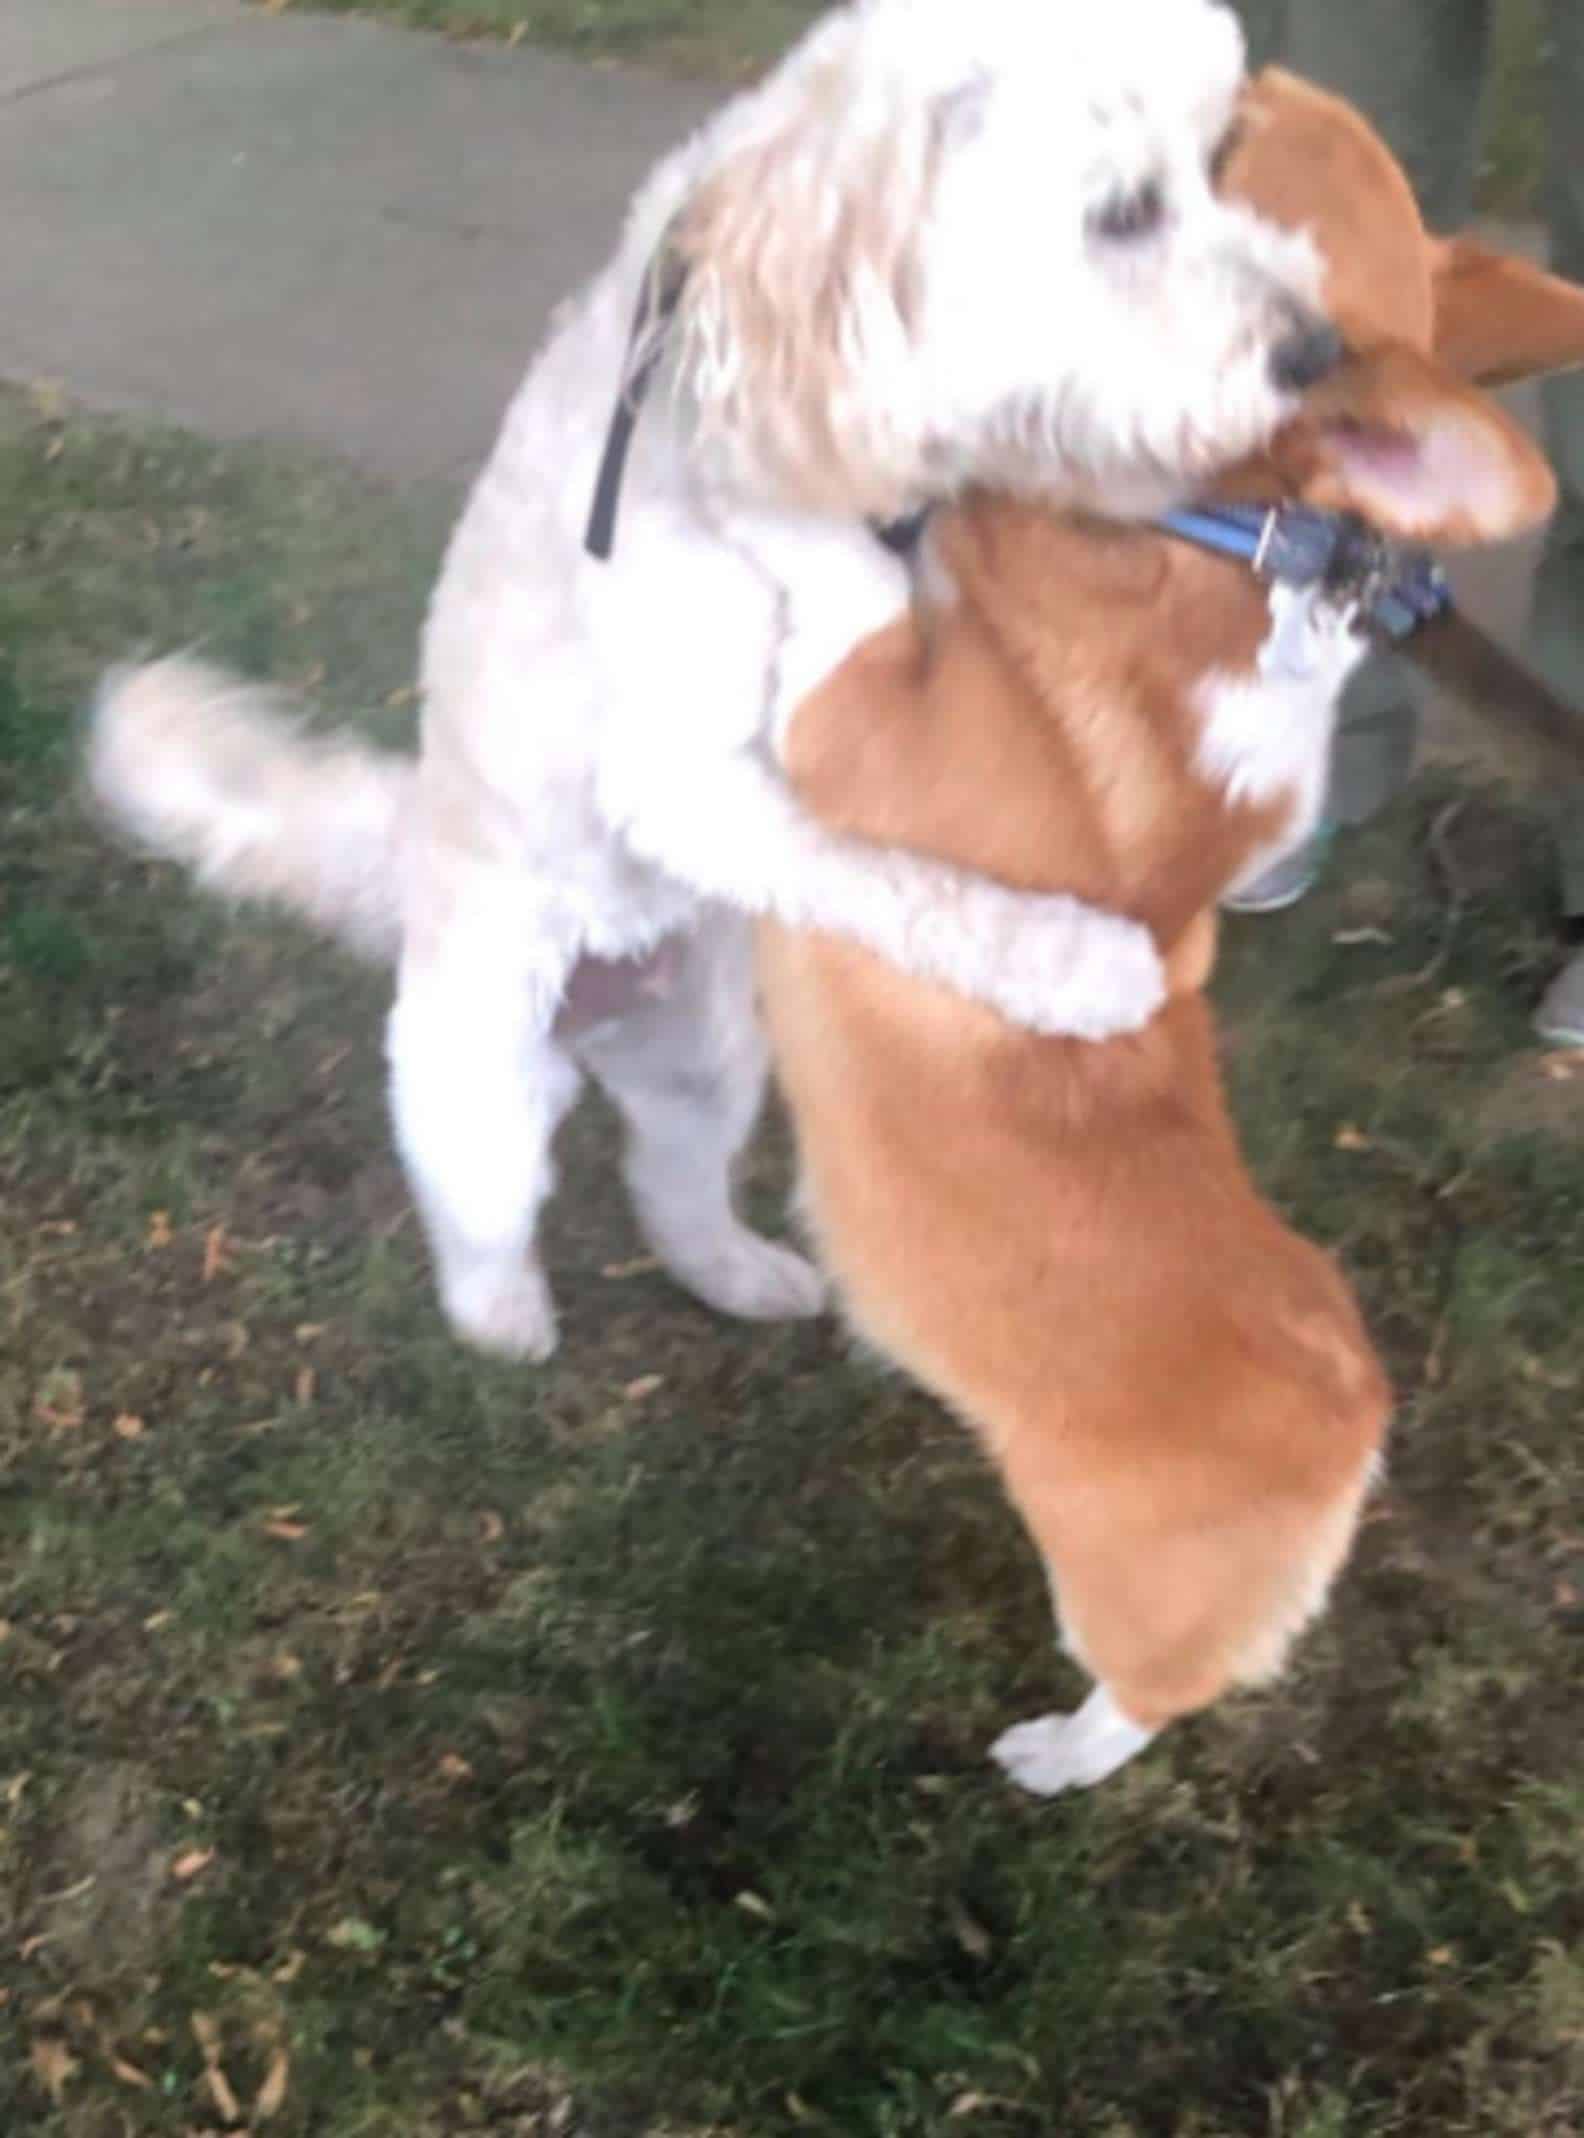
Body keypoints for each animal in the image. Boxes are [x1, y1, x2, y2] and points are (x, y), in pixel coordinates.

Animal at [89, 0, 1333, 1359]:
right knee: (480, 1215)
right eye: (1122, 212)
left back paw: (740, 1271)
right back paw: (506, 1320)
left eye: (1216, 167)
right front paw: (1074, 961)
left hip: (709, 1058)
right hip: (478, 1082)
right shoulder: (690, 781)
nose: (1317, 350)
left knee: (671, 1185)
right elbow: (901, 875)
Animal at [756, 71, 1584, 1787]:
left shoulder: (863, 737)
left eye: (1217, 163)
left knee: (1149, 1691)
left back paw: (1050, 1754)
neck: (1216, 538)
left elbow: (848, 607)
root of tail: (1357, 1410)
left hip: (1118, 1595)